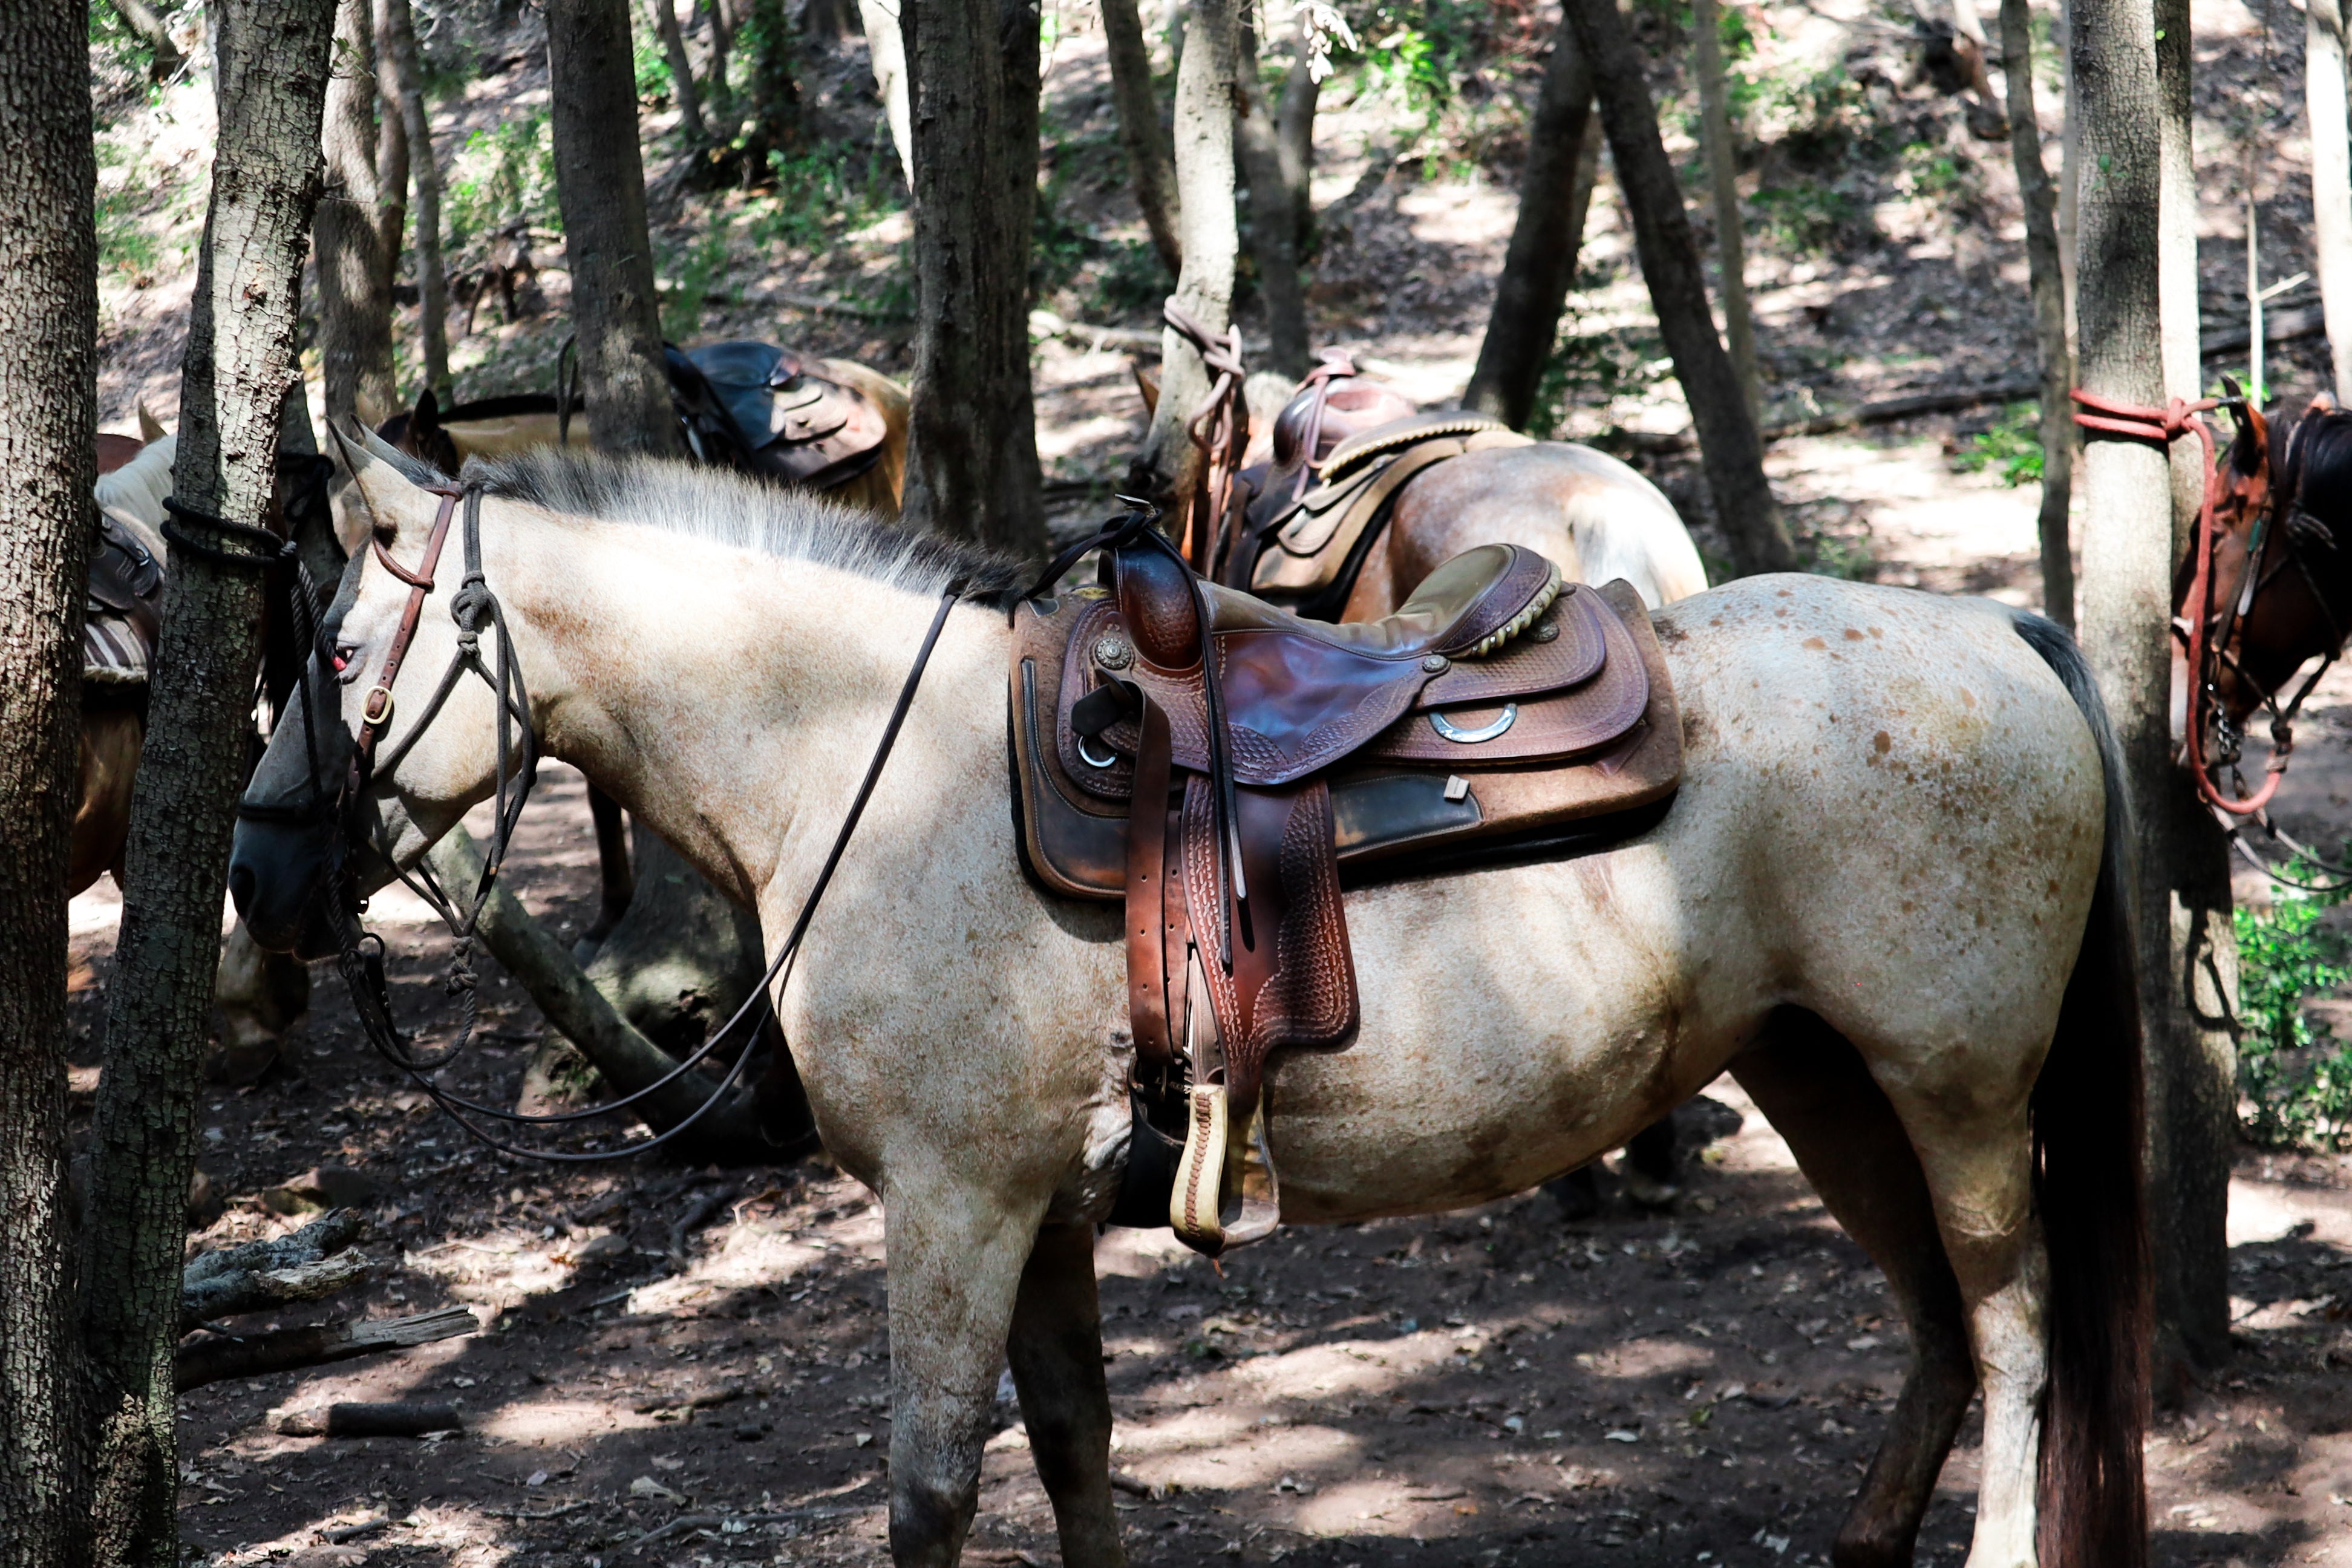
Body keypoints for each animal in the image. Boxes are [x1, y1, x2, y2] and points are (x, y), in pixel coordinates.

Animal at [224, 430, 2154, 1568]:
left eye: (340, 649)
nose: (258, 872)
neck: (864, 770)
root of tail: (1999, 632)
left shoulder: (953, 1205)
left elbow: (934, 1485)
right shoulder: (1035, 1212)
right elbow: (1076, 1448)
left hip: (1957, 1092)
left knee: (2014, 1325)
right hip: (1821, 1076)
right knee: (1938, 1329)